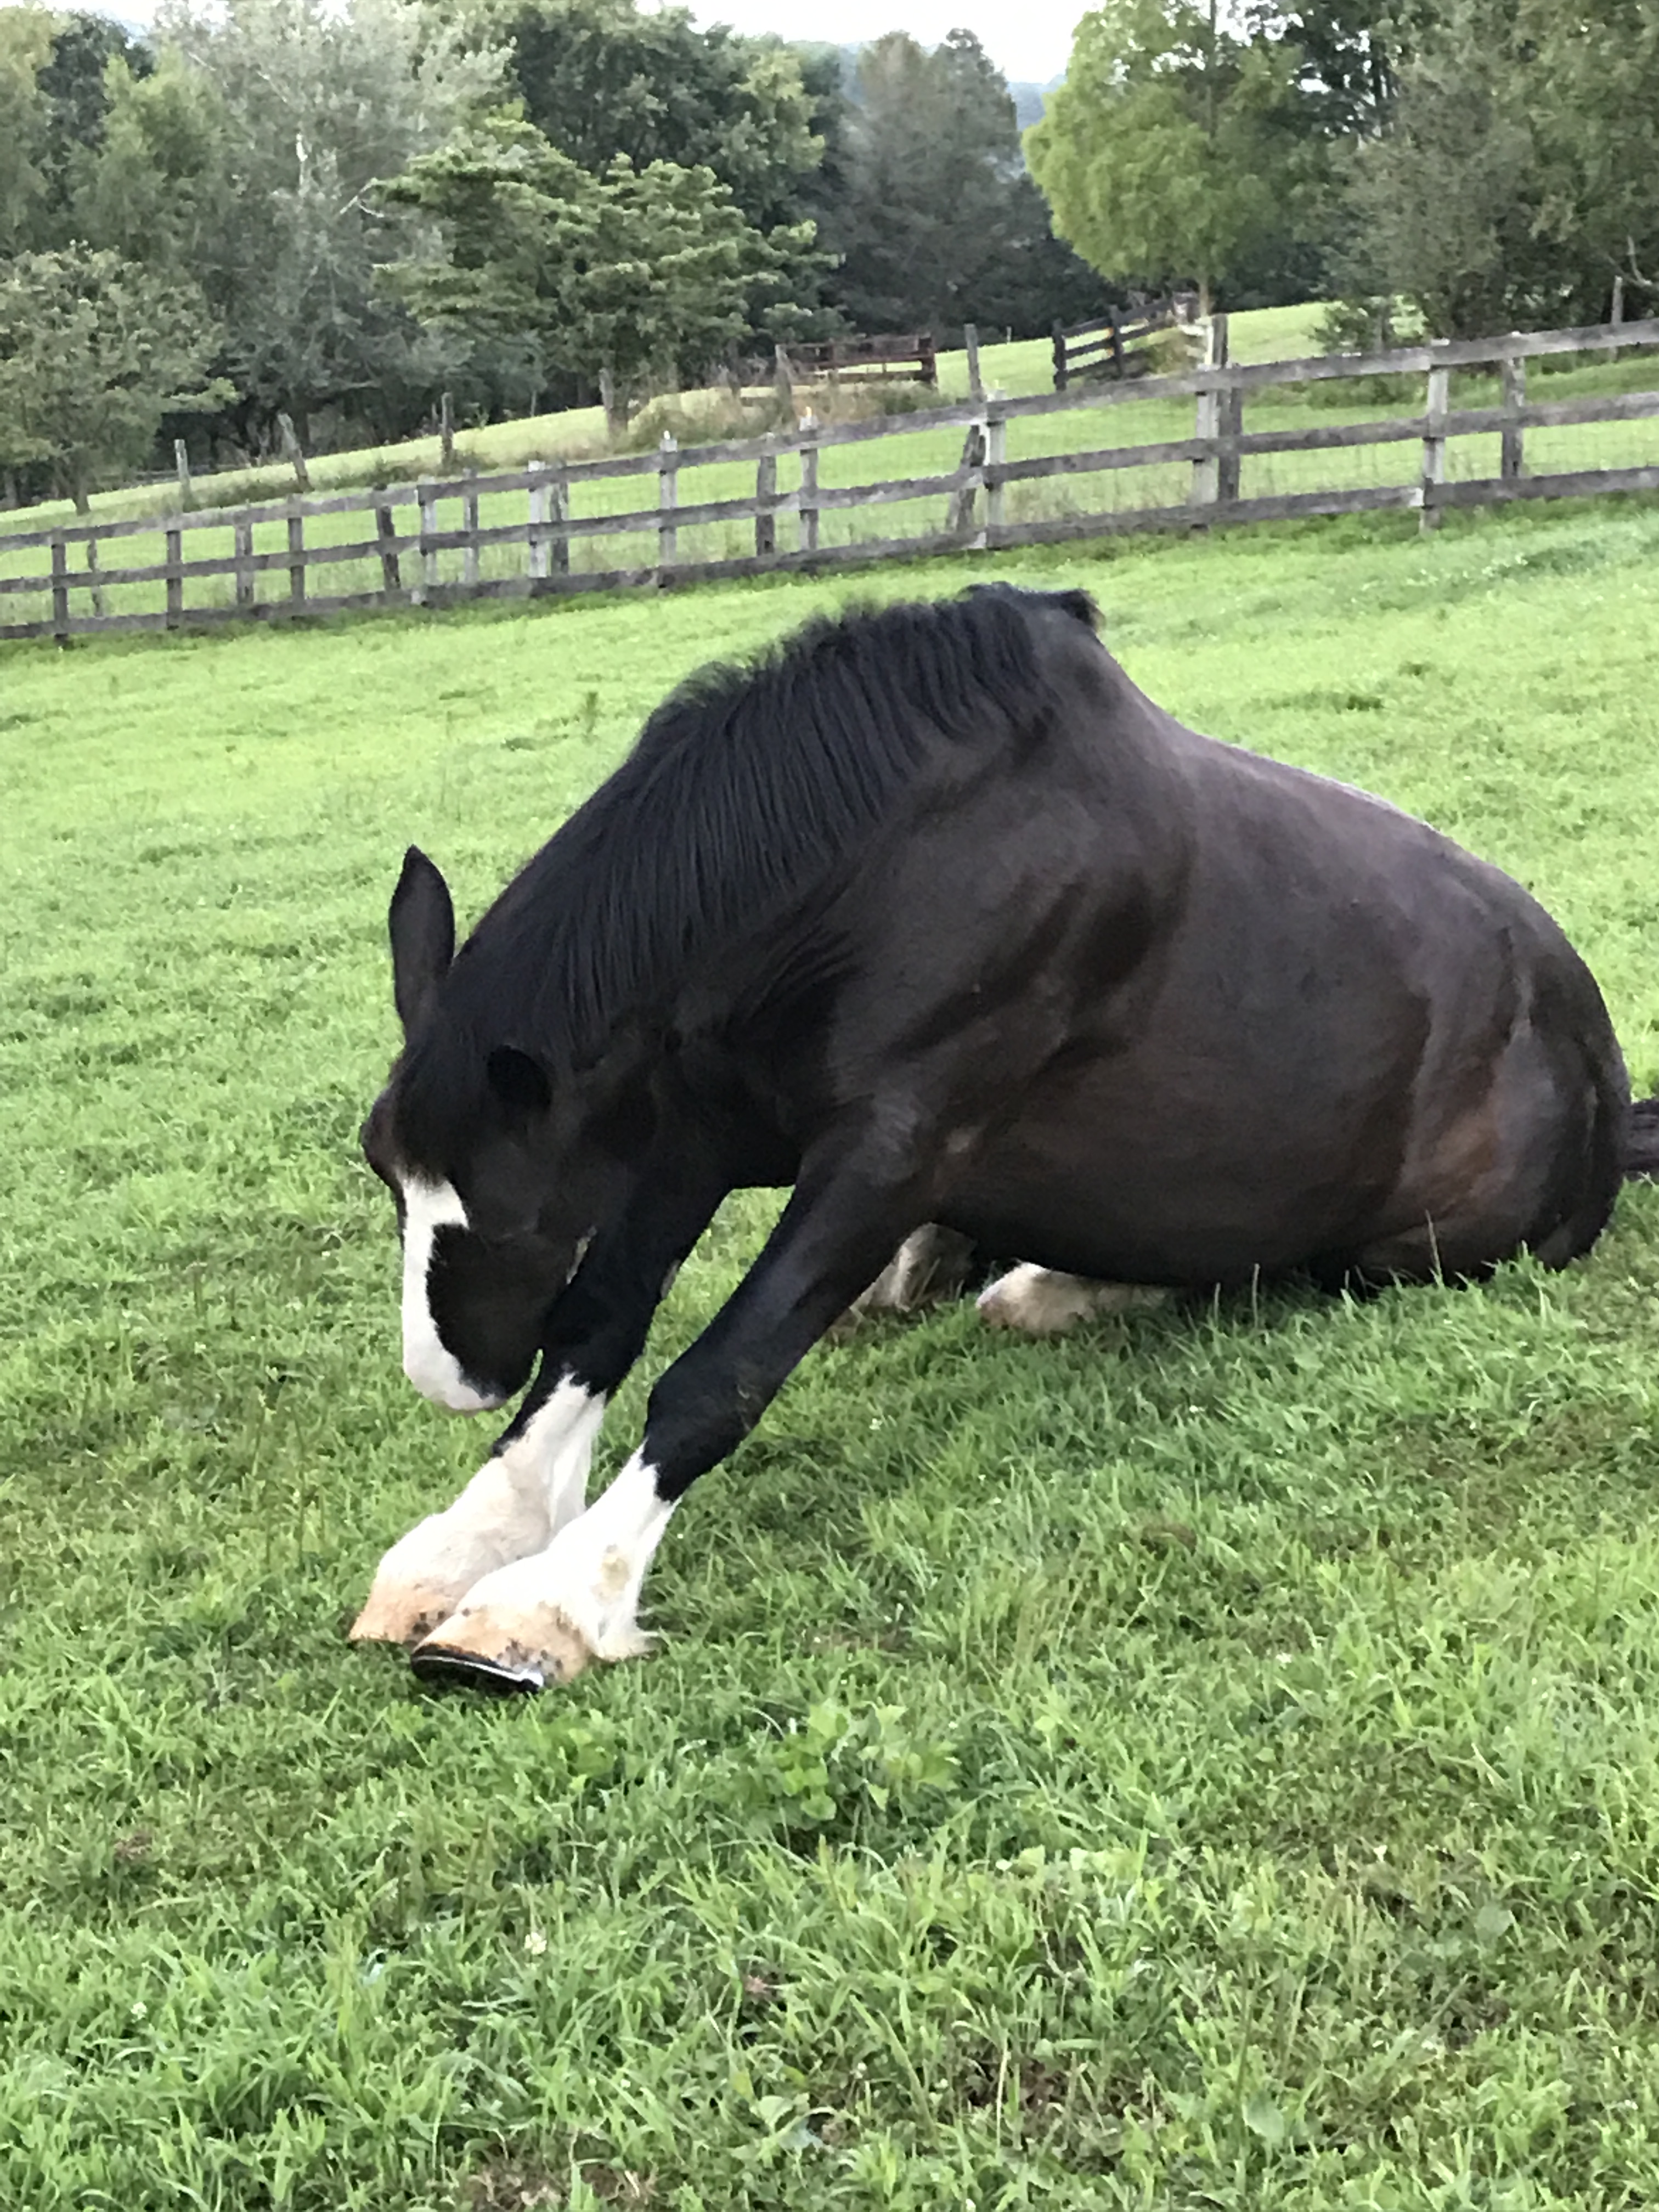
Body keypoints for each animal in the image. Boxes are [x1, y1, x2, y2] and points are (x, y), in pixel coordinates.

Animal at [352, 584, 1657, 1692]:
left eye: (515, 1212)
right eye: (386, 1174)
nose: (452, 1379)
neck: (884, 864)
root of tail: (1598, 1075)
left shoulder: (895, 1148)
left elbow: (721, 1370)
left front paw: (553, 1603)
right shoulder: (692, 1133)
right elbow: (598, 1324)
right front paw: (476, 1537)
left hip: (1413, 1253)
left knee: (1281, 1271)